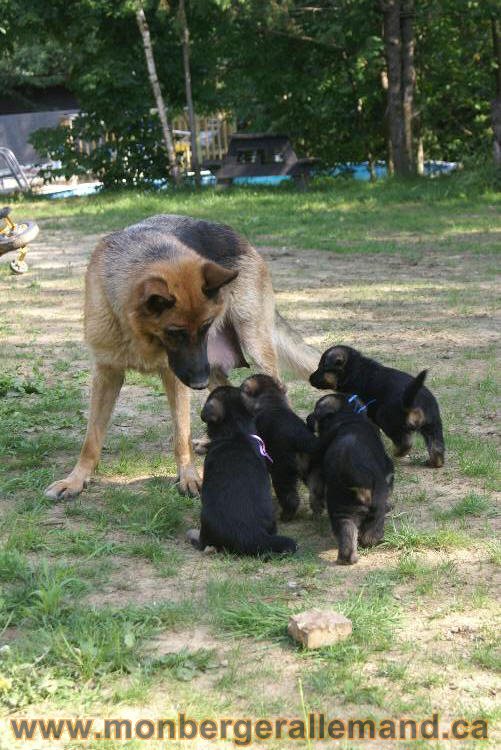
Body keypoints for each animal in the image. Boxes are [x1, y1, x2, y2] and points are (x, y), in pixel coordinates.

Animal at [44, 214, 316, 502]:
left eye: (206, 327)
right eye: (175, 333)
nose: (198, 383)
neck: (138, 333)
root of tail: (237, 236)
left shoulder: (175, 377)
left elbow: (181, 434)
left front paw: (189, 477)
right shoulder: (107, 373)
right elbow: (92, 438)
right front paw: (76, 479)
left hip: (249, 349)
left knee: (278, 392)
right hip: (212, 367)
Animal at [304, 396, 394, 568]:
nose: (307, 418)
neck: (347, 416)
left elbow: (314, 487)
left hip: (341, 510)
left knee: (346, 534)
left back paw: (346, 559)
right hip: (376, 503)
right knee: (372, 530)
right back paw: (377, 540)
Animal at [308, 348, 446, 470]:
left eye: (322, 367)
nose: (310, 378)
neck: (354, 368)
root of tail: (414, 400)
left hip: (386, 419)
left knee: (405, 443)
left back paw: (396, 454)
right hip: (433, 426)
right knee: (436, 447)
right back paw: (434, 463)